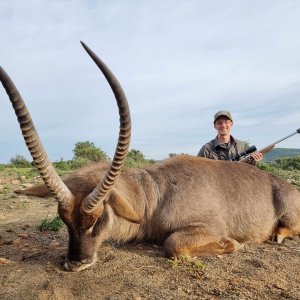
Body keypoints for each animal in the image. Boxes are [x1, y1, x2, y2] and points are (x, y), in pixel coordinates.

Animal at [0, 42, 300, 272]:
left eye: (98, 218)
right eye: (64, 219)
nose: (75, 263)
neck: (156, 193)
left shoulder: (208, 226)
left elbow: (173, 244)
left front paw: (232, 244)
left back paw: (277, 235)